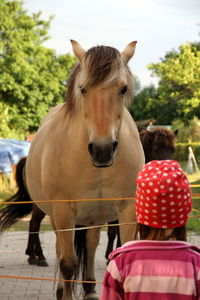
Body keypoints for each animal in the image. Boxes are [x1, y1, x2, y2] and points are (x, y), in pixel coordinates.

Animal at [0, 40, 145, 300]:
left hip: (94, 216)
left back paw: (89, 288)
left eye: (123, 89)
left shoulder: (127, 209)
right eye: (83, 89)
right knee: (60, 248)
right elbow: (68, 262)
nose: (102, 149)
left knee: (90, 244)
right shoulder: (63, 210)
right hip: (56, 215)